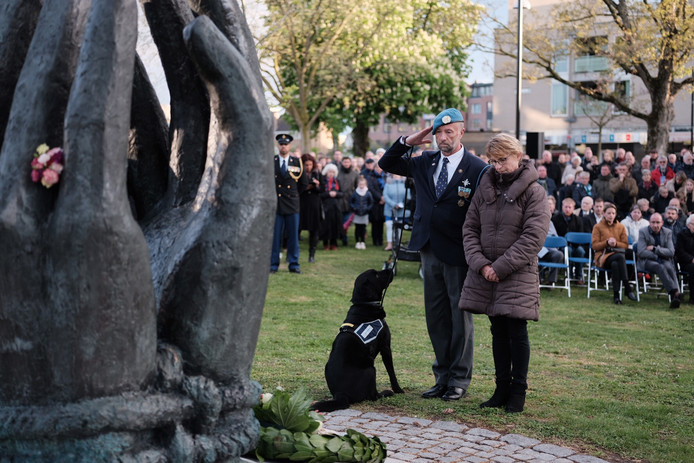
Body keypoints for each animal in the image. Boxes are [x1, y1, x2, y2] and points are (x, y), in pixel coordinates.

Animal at [314, 268, 406, 414]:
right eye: (376, 275)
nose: (390, 269)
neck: (364, 304)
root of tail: (340, 394)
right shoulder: (386, 347)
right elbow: (391, 372)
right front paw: (398, 389)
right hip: (371, 369)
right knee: (373, 396)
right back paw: (386, 393)